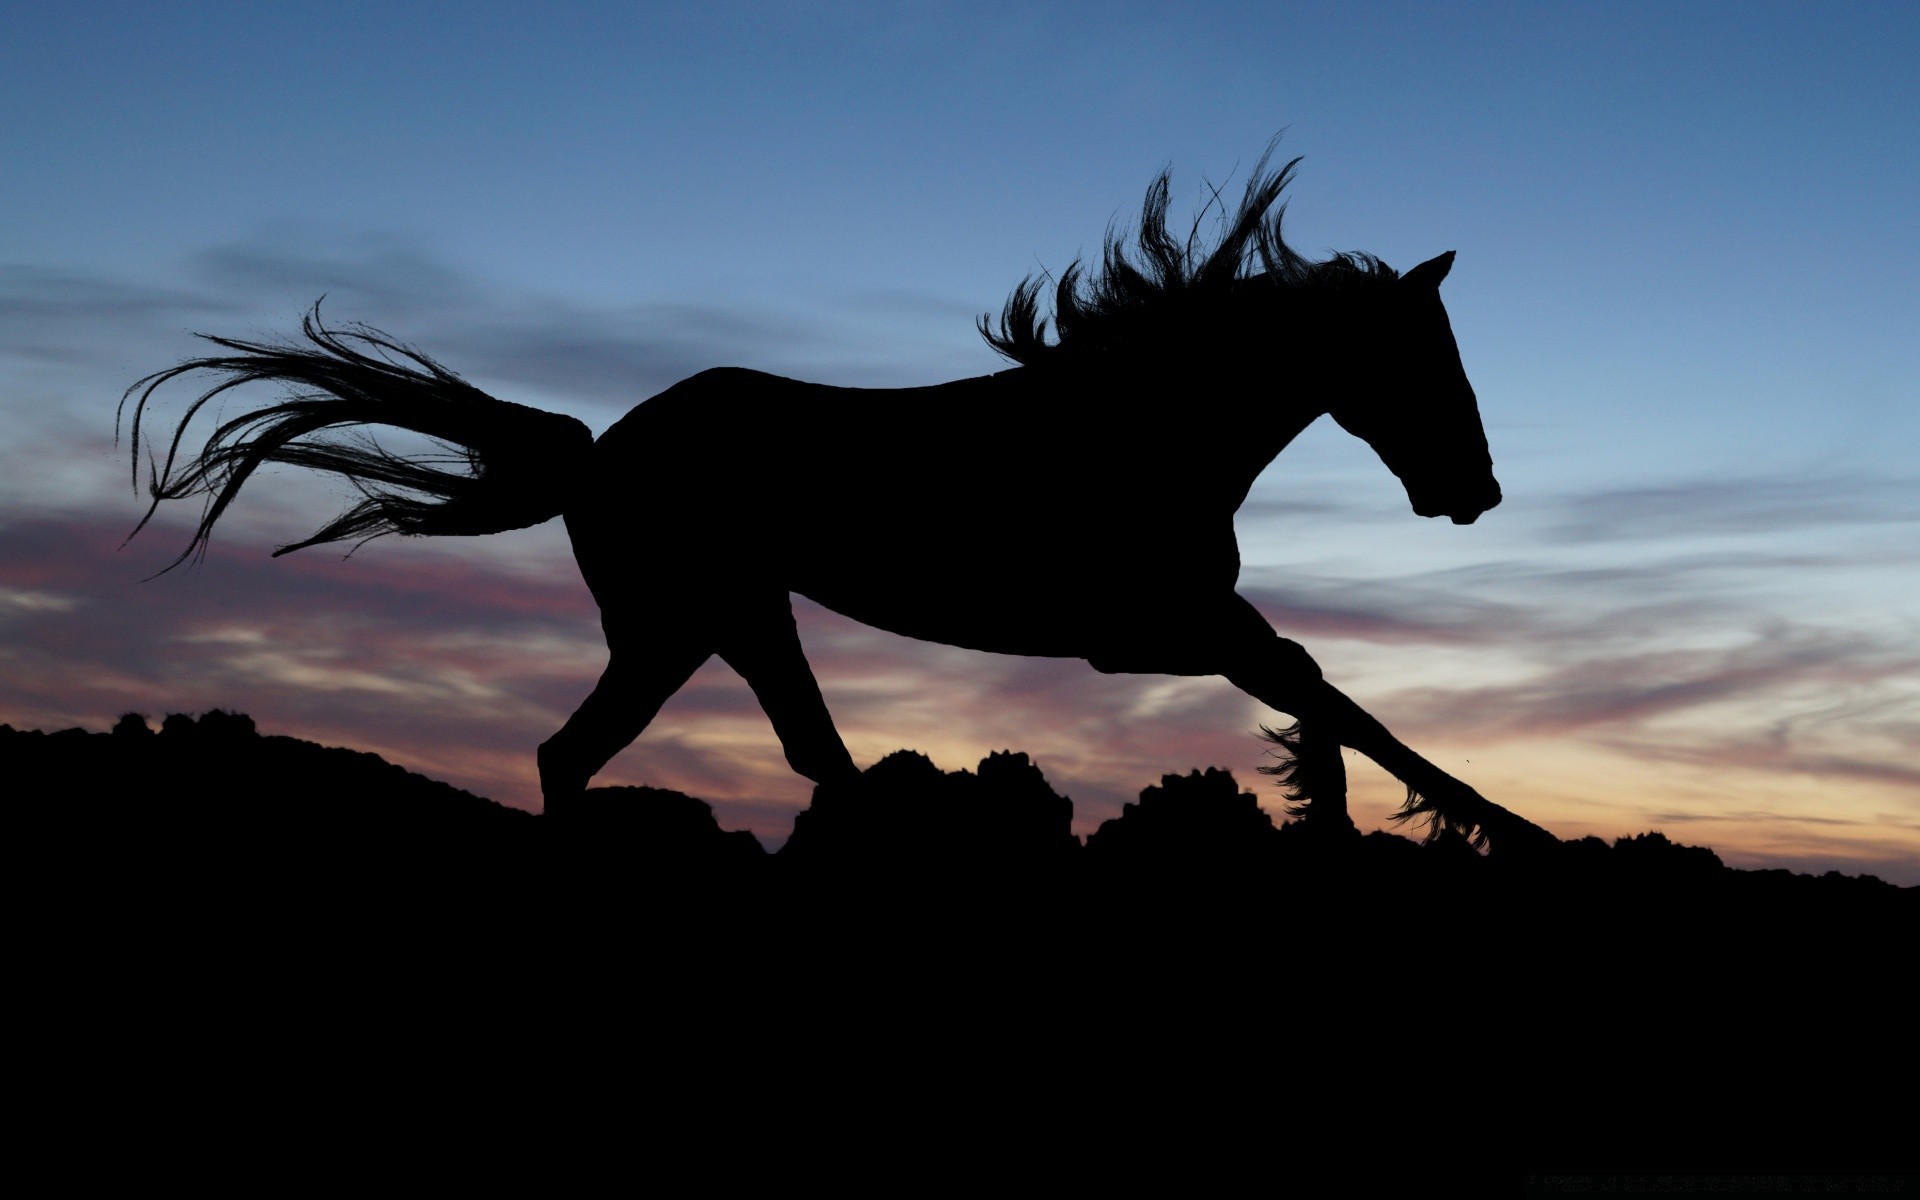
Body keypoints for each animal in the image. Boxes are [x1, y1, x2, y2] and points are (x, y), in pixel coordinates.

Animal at [120, 147, 1559, 852]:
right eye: (1425, 360)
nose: (1476, 492)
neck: (1135, 432)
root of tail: (601, 453)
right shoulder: (1148, 631)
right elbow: (1332, 692)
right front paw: (1501, 831)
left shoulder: (1179, 631)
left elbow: (1324, 695)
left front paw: (1350, 810)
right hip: (692, 620)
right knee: (617, 758)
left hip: (720, 623)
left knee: (749, 759)